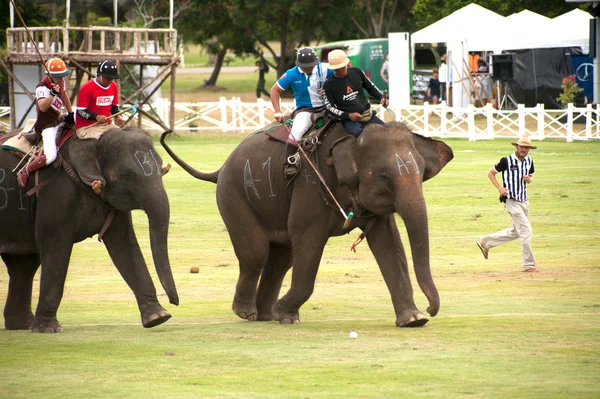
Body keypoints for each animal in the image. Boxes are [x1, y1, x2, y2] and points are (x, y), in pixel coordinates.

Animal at [0, 126, 178, 332]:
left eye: (161, 167)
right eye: (127, 175)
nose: (175, 303)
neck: (92, 139)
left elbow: (124, 245)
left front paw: (158, 317)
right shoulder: (56, 189)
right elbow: (55, 246)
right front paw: (49, 329)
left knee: (23, 264)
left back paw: (21, 325)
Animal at [162, 122, 452, 328]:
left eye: (421, 173)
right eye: (384, 176)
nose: (430, 310)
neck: (352, 136)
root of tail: (220, 169)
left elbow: (389, 245)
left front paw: (413, 320)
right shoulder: (311, 184)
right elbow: (309, 241)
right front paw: (286, 314)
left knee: (282, 256)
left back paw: (267, 315)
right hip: (234, 195)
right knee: (256, 254)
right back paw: (248, 313)